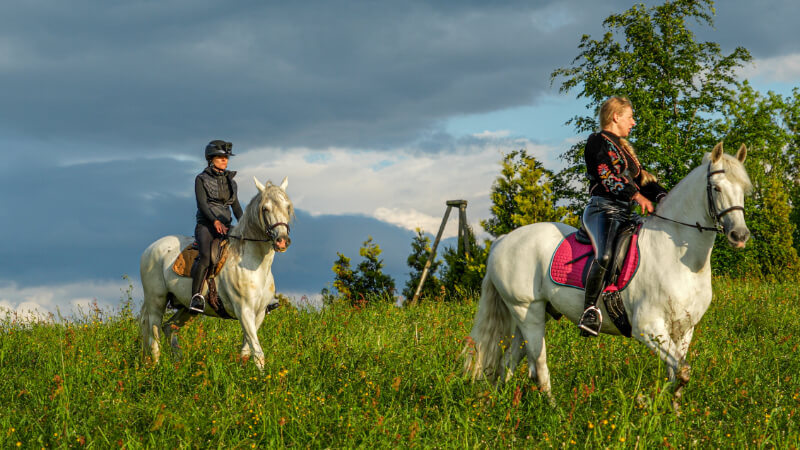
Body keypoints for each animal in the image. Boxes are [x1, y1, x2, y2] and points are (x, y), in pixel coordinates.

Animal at [138, 176, 294, 370]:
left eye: (287, 207)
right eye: (265, 208)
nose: (282, 241)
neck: (253, 264)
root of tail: (150, 248)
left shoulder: (258, 315)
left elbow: (246, 351)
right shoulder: (244, 311)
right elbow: (258, 353)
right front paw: (261, 377)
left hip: (187, 308)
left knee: (170, 328)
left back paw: (179, 365)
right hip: (156, 301)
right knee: (154, 337)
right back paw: (157, 369)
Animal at [462, 142, 752, 402]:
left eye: (744, 191)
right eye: (716, 187)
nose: (740, 236)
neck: (679, 257)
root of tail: (503, 241)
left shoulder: (684, 329)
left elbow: (677, 372)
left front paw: (672, 414)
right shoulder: (647, 328)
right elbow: (682, 371)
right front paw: (649, 402)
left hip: (532, 314)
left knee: (509, 362)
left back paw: (496, 406)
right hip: (527, 310)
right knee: (539, 368)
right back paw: (554, 414)